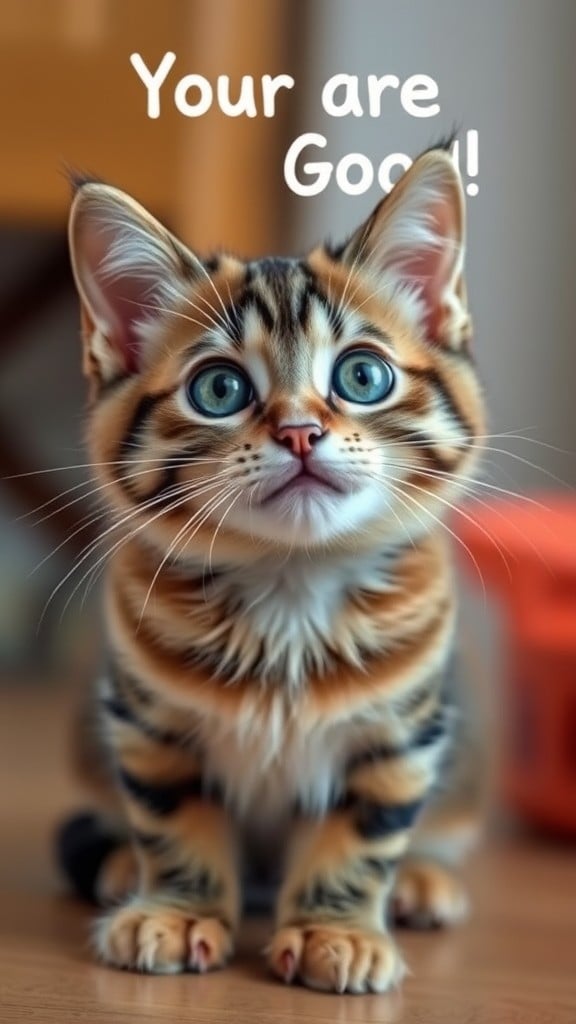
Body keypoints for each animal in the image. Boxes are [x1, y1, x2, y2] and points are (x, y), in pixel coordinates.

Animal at [60, 148, 483, 995]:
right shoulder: (146, 722)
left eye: (362, 376)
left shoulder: (403, 735)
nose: (298, 431)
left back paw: (423, 879)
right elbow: (170, 818)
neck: (291, 592)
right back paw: (121, 866)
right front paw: (176, 910)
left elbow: (366, 835)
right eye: (219, 389)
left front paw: (333, 929)